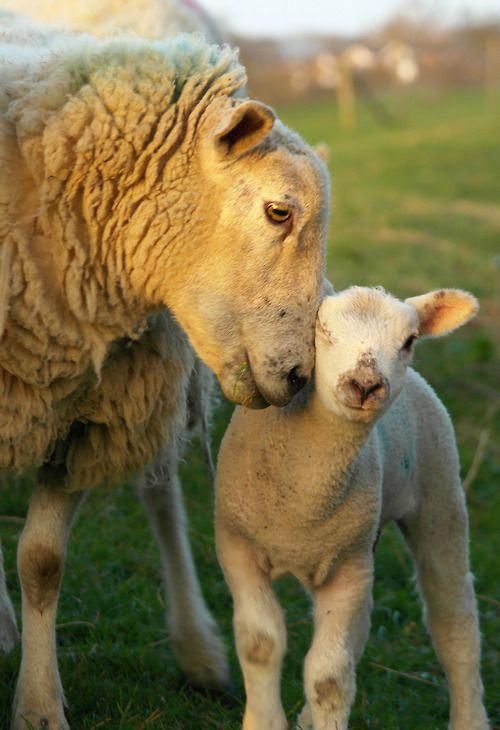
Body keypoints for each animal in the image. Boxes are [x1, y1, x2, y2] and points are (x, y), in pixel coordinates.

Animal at [0, 15, 330, 728]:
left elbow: (42, 562)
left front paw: (37, 705)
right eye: (279, 211)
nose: (299, 376)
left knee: (159, 494)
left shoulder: (84, 421)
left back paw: (198, 651)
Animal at [215, 286, 489, 730]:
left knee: (454, 621)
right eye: (323, 329)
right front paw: (265, 721)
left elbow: (329, 677)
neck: (305, 497)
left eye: (409, 340)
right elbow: (261, 643)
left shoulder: (347, 567)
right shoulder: (237, 545)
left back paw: (470, 717)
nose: (365, 384)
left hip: (439, 495)